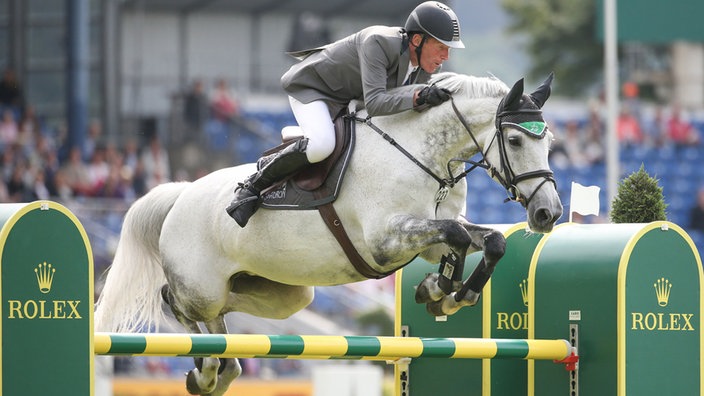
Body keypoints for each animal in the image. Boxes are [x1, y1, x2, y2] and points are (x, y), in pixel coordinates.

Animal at [96, 72, 564, 394]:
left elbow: (488, 241)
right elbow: (458, 236)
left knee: (219, 311)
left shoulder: (425, 239)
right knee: (178, 302)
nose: (548, 213)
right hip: (202, 286)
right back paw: (208, 369)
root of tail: (179, 194)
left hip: (284, 296)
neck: (422, 155)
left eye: (549, 142)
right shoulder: (385, 240)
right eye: (516, 141)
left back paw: (219, 368)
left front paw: (444, 293)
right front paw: (442, 291)